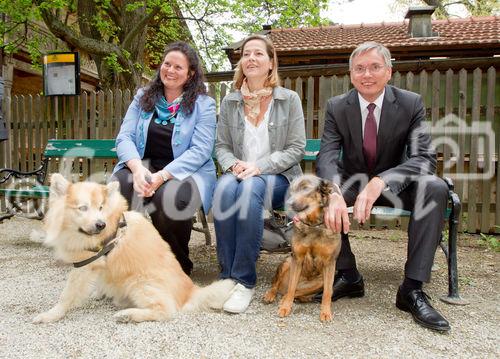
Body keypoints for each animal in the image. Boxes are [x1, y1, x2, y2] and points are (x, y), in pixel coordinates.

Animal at [35, 173, 234, 324]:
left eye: (100, 207)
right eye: (83, 208)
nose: (100, 224)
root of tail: (191, 290)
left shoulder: (85, 265)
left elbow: (67, 295)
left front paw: (50, 315)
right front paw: (98, 292)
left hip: (139, 283)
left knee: (164, 310)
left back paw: (128, 315)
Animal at [264, 175, 342, 324]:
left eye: (306, 189)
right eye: (292, 190)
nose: (288, 203)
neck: (313, 225)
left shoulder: (330, 263)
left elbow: (328, 292)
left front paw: (325, 312)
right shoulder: (297, 258)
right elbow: (291, 287)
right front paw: (286, 308)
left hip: (320, 280)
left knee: (297, 292)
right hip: (287, 262)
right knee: (278, 285)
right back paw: (271, 295)